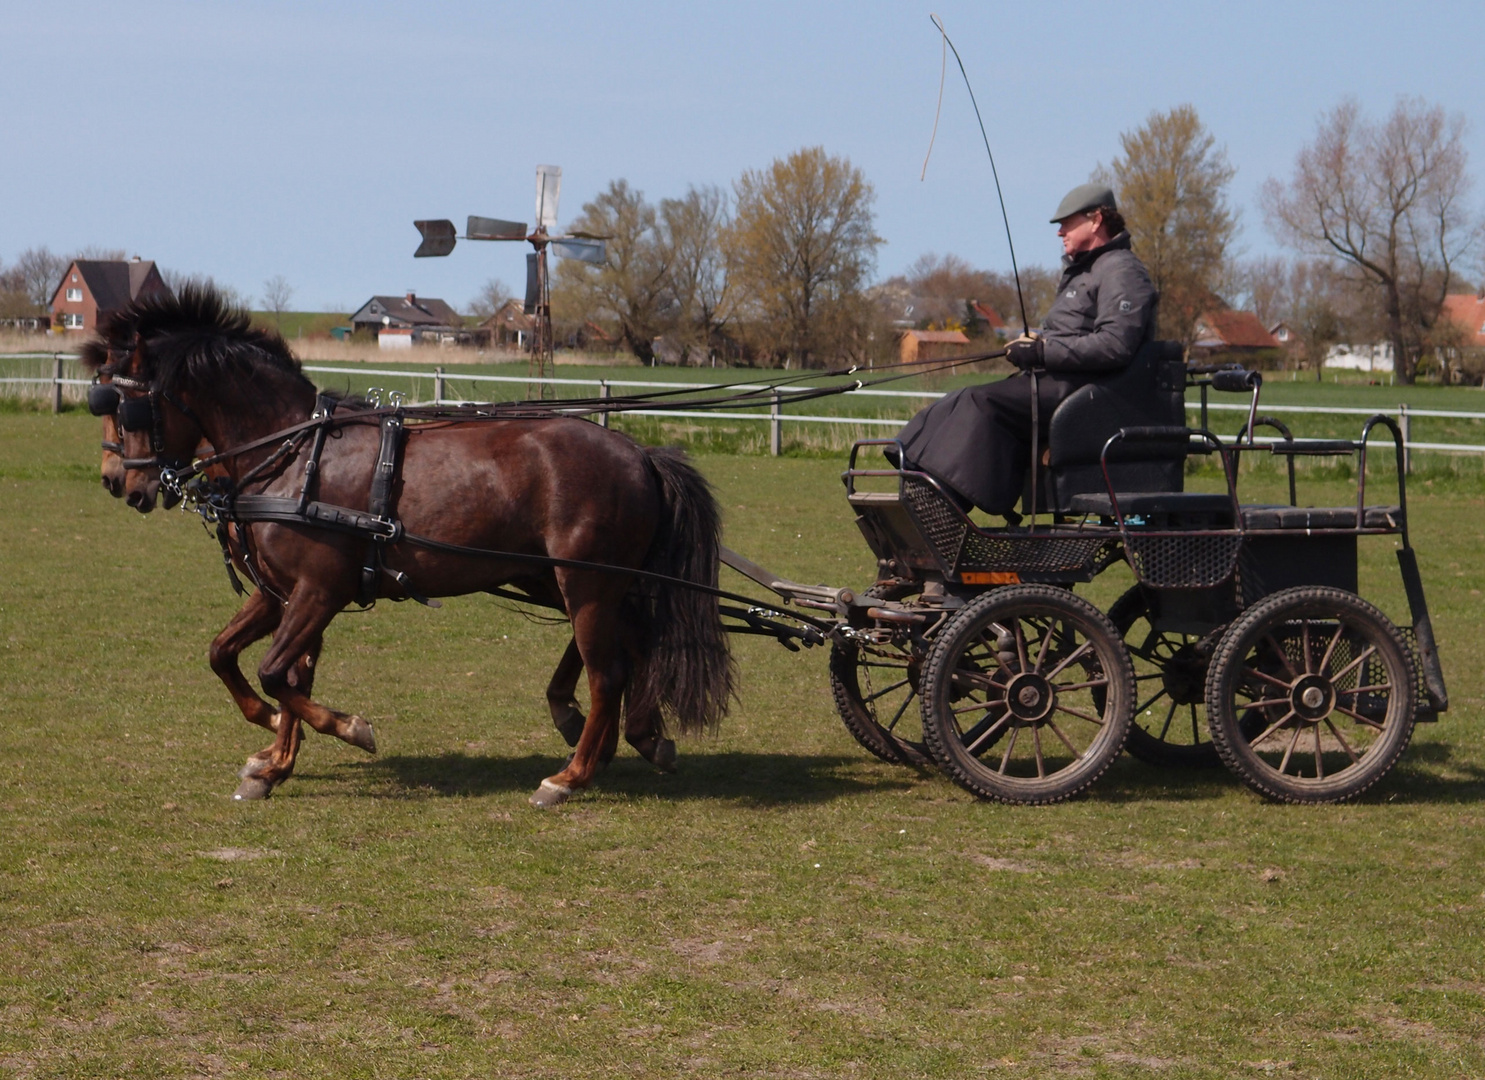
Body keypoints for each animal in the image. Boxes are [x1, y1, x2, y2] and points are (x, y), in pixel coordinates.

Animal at [84, 283, 733, 808]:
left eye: (126, 405)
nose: (118, 482)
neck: (294, 455)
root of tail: (640, 453)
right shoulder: (282, 593)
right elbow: (237, 659)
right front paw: (272, 760)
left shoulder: (319, 591)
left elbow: (276, 672)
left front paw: (347, 728)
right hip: (557, 577)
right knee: (634, 640)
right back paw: (628, 735)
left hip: (587, 579)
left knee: (610, 670)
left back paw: (569, 776)